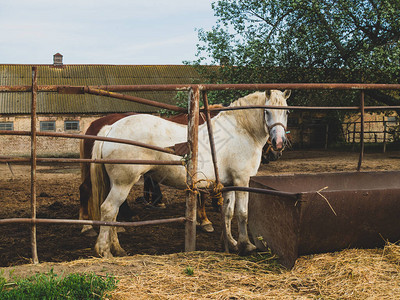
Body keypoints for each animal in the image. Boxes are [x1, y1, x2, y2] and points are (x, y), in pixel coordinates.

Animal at [90, 89, 290, 258]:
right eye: (267, 112)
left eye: (286, 112)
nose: (278, 143)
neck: (241, 130)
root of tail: (110, 128)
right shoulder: (242, 180)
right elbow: (242, 213)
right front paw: (246, 245)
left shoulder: (229, 183)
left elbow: (228, 213)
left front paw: (231, 243)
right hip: (123, 183)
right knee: (108, 209)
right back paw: (104, 251)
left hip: (117, 184)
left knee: (114, 215)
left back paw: (117, 249)